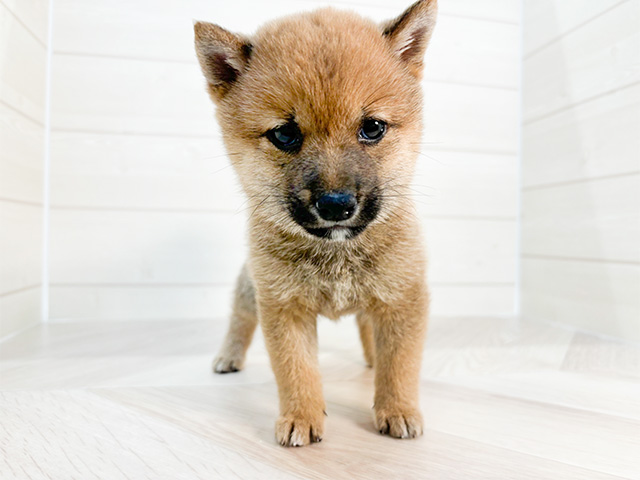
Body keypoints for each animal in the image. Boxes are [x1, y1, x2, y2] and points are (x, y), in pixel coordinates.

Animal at [192, 0, 438, 446]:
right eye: (285, 135)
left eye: (372, 127)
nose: (336, 205)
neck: (336, 253)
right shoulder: (283, 308)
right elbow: (296, 370)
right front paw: (301, 417)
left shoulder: (401, 298)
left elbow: (400, 364)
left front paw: (397, 409)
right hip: (250, 289)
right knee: (239, 319)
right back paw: (229, 357)